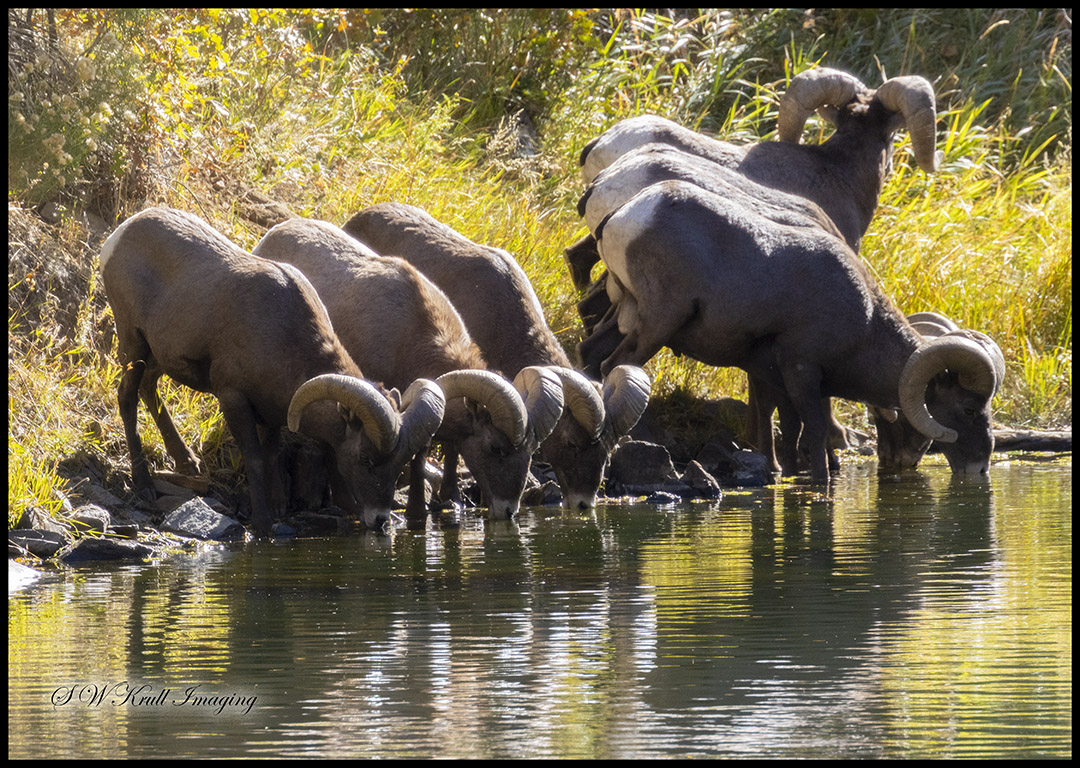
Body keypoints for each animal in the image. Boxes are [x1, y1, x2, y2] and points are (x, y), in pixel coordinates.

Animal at [99, 207, 445, 536]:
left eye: (400, 464)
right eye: (365, 459)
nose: (381, 520)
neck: (284, 335)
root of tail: (120, 234)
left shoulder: (275, 408)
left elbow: (272, 451)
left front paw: (278, 505)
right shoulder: (233, 397)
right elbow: (254, 458)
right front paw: (263, 524)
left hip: (158, 355)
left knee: (149, 388)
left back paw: (187, 463)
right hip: (133, 342)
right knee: (127, 397)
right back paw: (143, 484)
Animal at [592, 180, 1003, 481]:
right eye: (968, 409)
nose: (980, 468)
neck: (865, 321)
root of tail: (627, 214)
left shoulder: (779, 377)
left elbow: (789, 429)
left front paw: (787, 474)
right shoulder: (803, 371)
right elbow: (815, 429)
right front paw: (821, 480)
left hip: (625, 316)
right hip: (658, 323)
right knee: (619, 365)